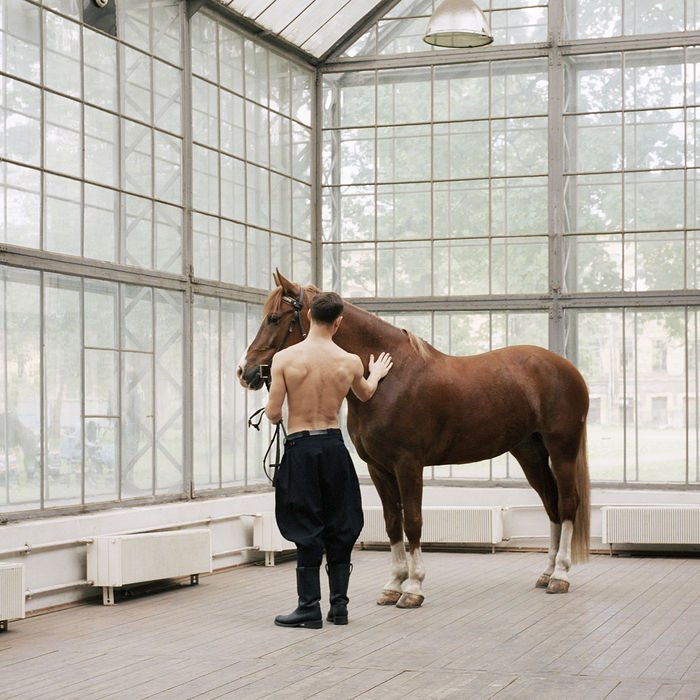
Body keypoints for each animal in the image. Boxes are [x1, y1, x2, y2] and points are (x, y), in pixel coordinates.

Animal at [238, 270, 588, 608]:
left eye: (274, 318)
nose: (245, 371)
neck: (389, 380)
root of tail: (566, 368)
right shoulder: (379, 468)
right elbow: (393, 522)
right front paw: (393, 585)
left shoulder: (408, 464)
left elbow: (414, 522)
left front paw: (414, 587)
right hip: (529, 452)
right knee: (551, 504)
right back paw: (547, 572)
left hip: (562, 449)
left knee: (568, 503)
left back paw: (560, 575)